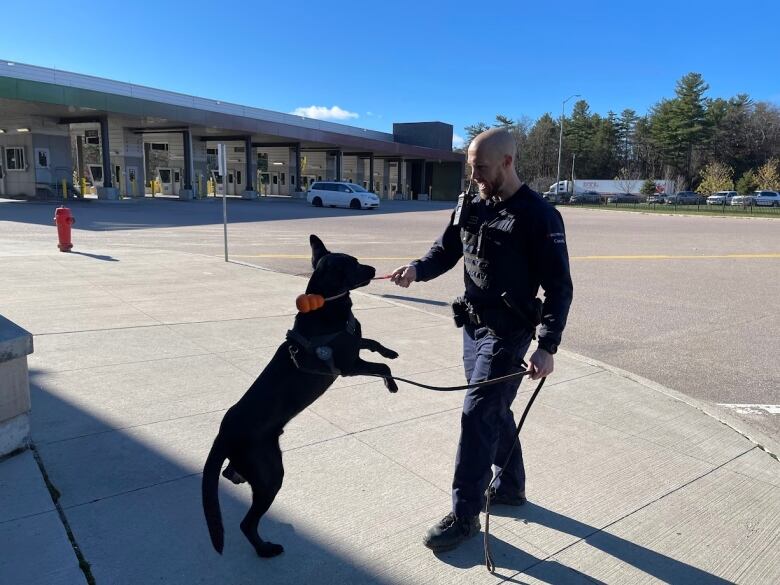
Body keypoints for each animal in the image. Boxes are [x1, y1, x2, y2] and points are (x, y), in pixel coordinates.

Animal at [201, 234, 400, 556]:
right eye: (354, 264)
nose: (373, 268)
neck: (326, 306)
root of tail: (224, 433)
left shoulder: (355, 345)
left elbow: (371, 342)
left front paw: (390, 351)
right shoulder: (349, 365)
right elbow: (381, 366)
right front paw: (391, 384)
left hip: (257, 463)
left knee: (231, 474)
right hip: (270, 473)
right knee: (247, 523)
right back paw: (265, 550)